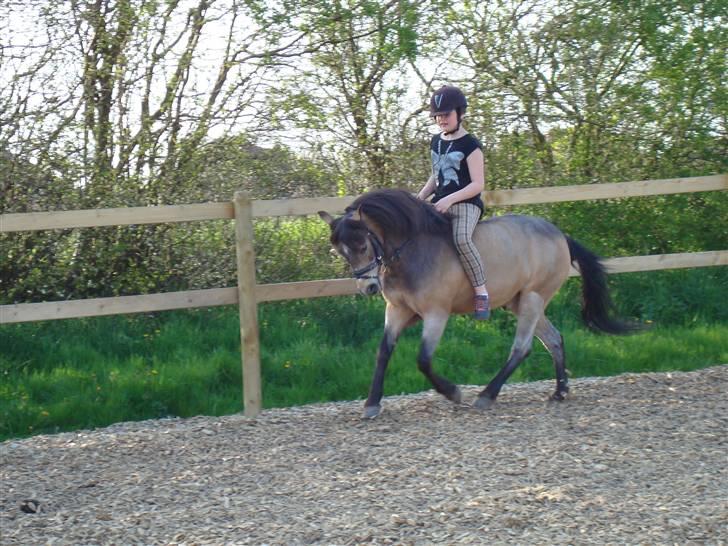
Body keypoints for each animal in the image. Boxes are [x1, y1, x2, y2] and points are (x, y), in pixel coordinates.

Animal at [320, 187, 636, 416]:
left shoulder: (436, 313)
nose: (369, 287)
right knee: (554, 339)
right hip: (519, 302)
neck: (410, 251)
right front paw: (372, 403)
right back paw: (560, 392)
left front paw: (453, 392)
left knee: (522, 347)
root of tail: (559, 234)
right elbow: (383, 352)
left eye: (362, 244)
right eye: (341, 252)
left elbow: (423, 359)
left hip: (533, 299)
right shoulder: (397, 310)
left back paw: (486, 396)